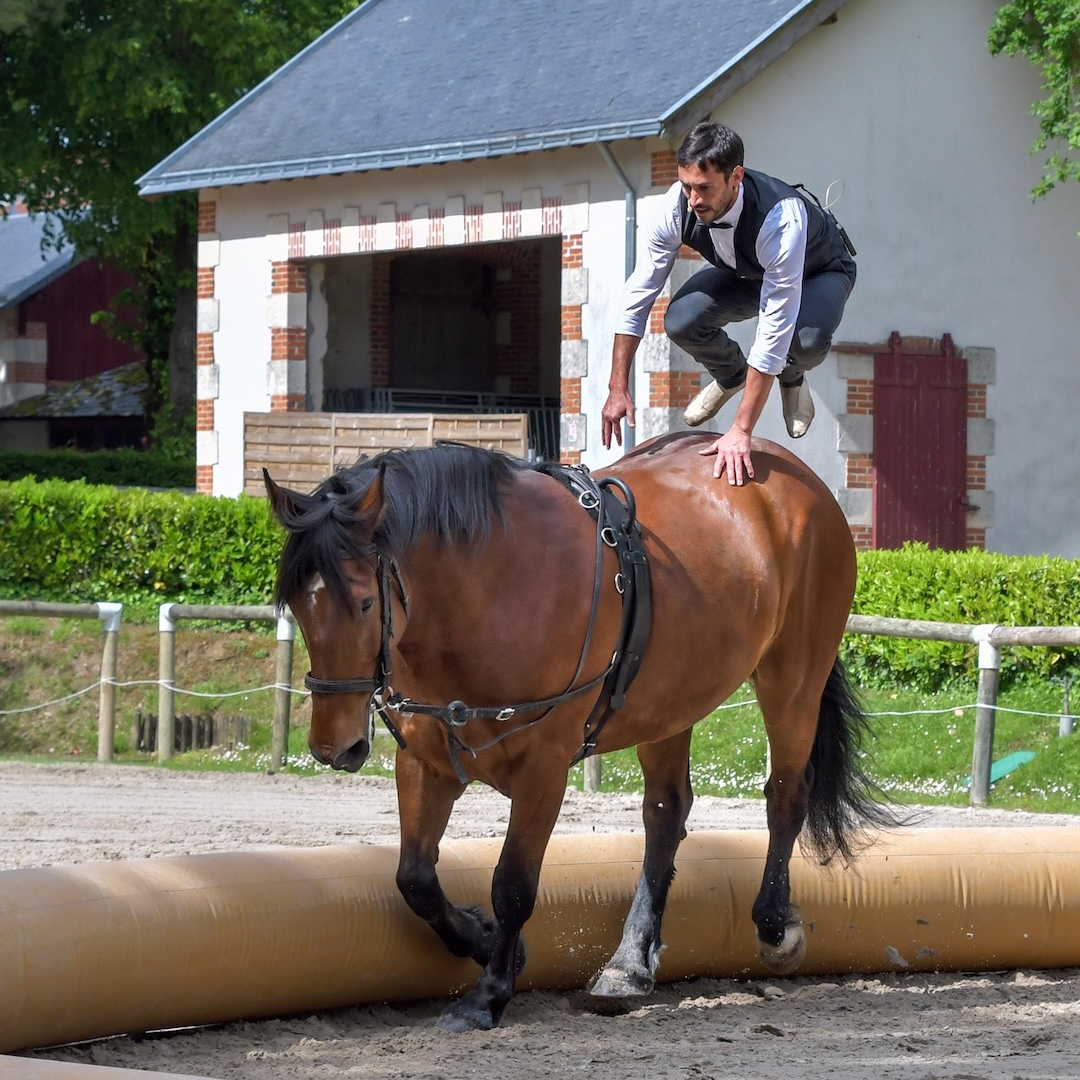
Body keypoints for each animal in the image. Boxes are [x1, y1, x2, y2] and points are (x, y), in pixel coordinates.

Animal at [265, 434, 889, 1032]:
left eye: (365, 601)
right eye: (294, 602)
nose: (334, 747)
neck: (487, 588)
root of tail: (795, 473)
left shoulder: (542, 768)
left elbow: (513, 884)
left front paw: (488, 995)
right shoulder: (427, 762)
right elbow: (414, 878)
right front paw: (484, 941)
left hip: (792, 681)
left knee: (785, 796)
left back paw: (773, 925)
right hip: (670, 705)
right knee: (666, 813)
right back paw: (629, 963)